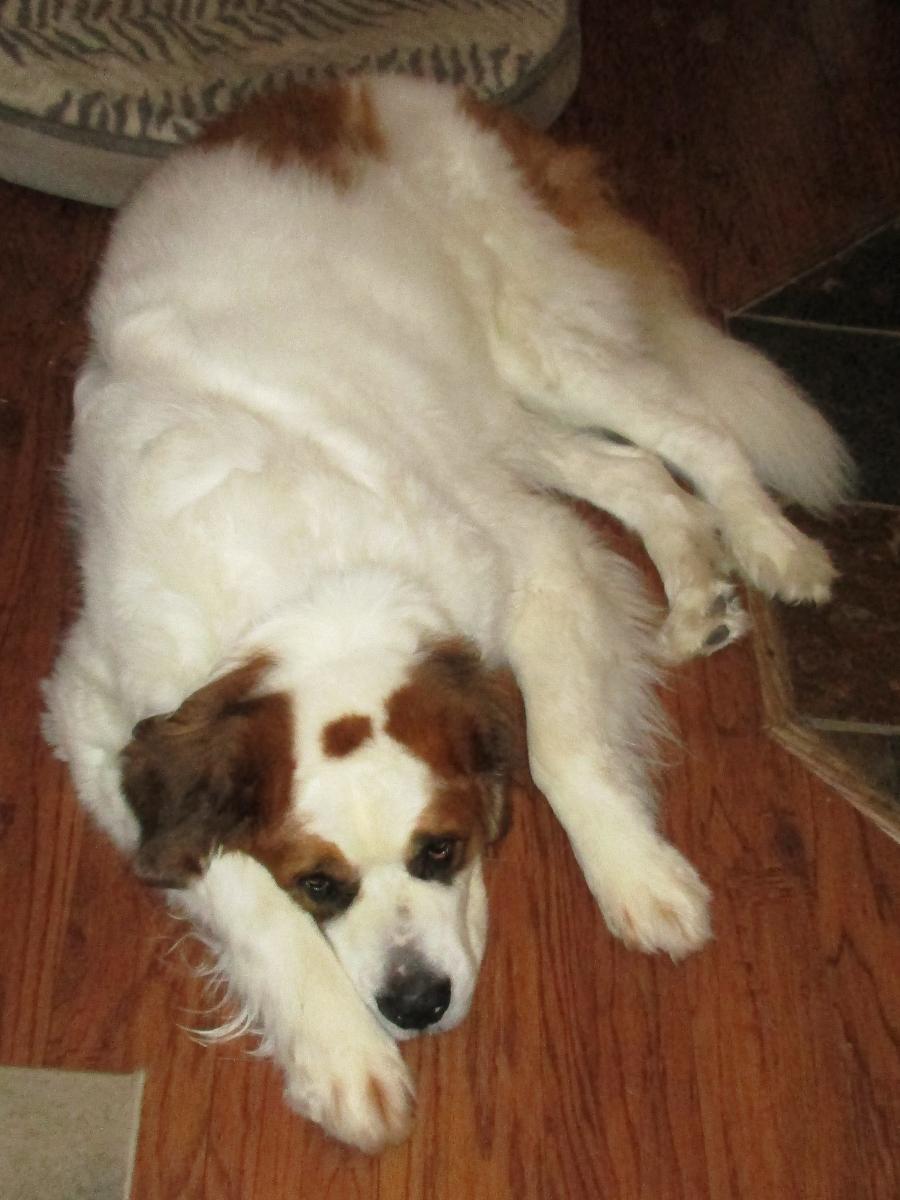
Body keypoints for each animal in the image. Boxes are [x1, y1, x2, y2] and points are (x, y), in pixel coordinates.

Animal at [42, 75, 851, 1151]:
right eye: (318, 884)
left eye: (444, 851)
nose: (417, 1003)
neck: (309, 584)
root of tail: (368, 85)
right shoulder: (99, 717)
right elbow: (234, 887)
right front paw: (341, 1052)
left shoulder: (533, 563)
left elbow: (559, 748)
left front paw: (636, 876)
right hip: (490, 418)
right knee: (631, 471)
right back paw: (692, 586)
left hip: (540, 357)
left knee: (695, 431)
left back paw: (771, 546)